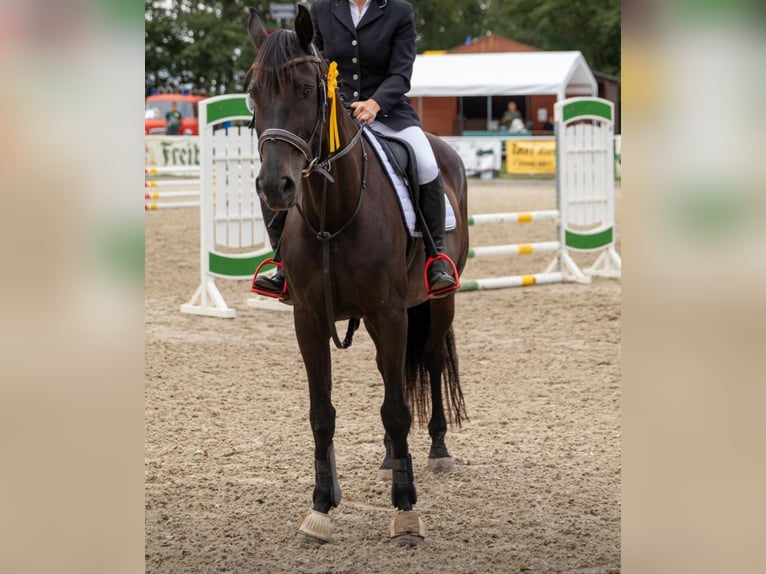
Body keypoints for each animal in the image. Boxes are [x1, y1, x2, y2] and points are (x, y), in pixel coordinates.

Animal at [249, 5, 472, 548]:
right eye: (253, 91)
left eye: (305, 88)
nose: (274, 187)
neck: (333, 211)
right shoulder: (309, 319)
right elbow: (322, 413)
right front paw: (320, 507)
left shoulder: (390, 313)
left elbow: (397, 408)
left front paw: (406, 510)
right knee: (388, 374)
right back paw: (392, 457)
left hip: (437, 301)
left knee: (430, 361)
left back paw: (436, 450)